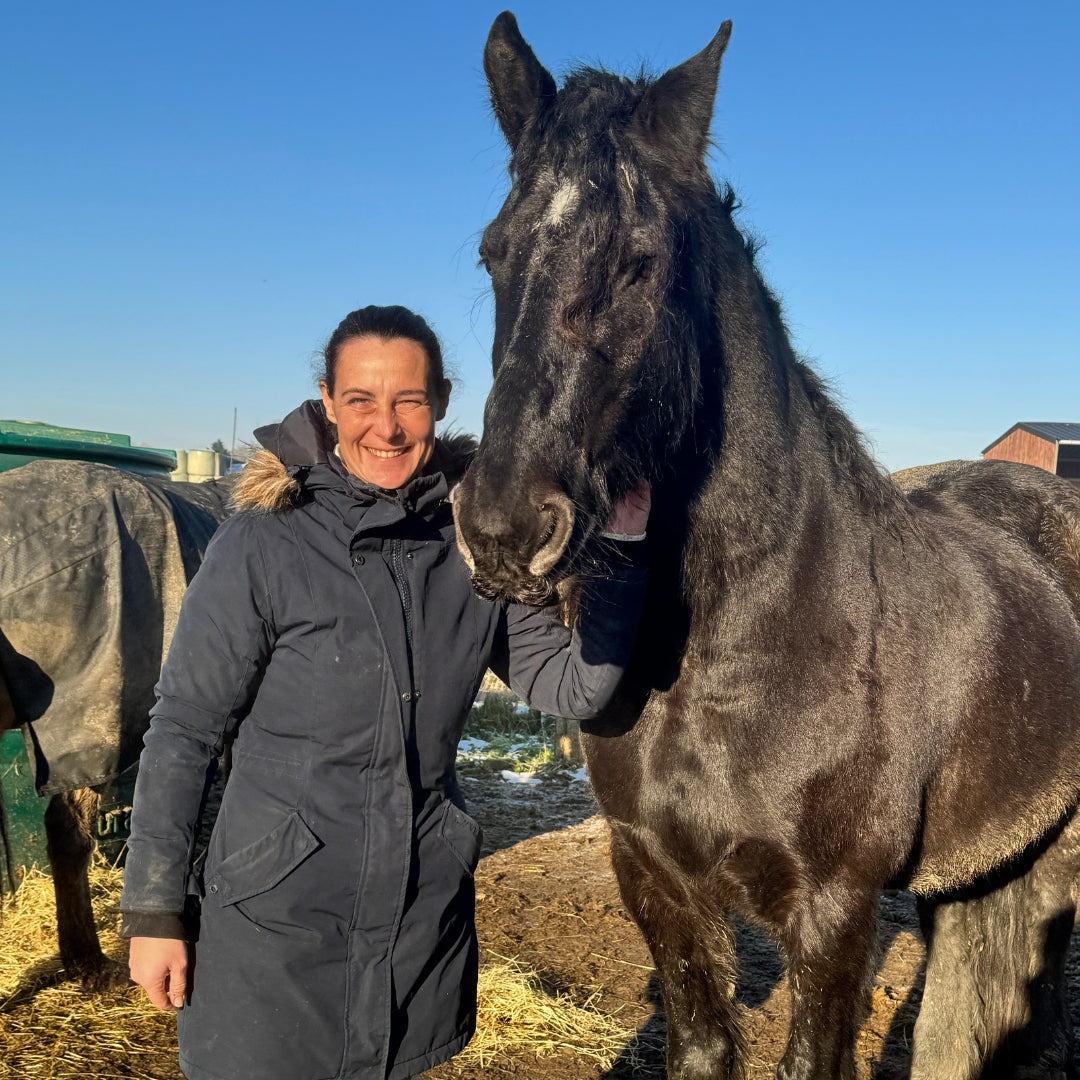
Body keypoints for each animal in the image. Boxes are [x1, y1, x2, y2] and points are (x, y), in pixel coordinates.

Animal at [452, 13, 1080, 1079]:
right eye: (495, 255)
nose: (501, 526)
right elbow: (704, 1048)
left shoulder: (833, 914)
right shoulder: (656, 882)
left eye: (640, 261)